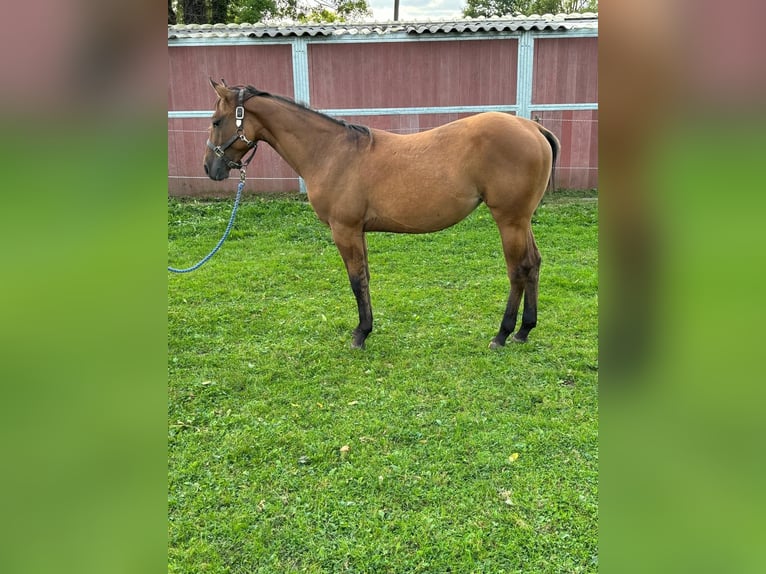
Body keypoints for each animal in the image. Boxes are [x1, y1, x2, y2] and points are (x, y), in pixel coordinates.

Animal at [202, 78, 564, 348]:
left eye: (216, 122)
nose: (210, 168)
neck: (332, 152)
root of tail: (533, 129)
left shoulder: (344, 229)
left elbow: (355, 280)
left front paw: (360, 334)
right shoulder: (357, 231)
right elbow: (365, 278)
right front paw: (366, 328)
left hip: (509, 220)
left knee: (518, 270)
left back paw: (502, 334)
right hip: (521, 221)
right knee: (533, 264)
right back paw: (524, 331)